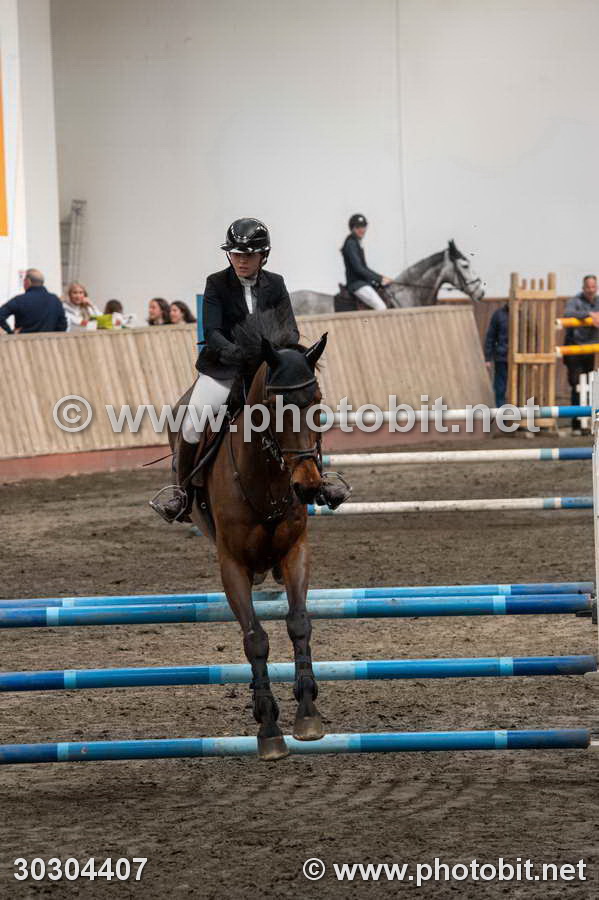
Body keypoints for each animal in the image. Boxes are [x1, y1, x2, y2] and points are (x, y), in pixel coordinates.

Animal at [179, 320, 328, 761]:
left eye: (317, 401)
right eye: (276, 407)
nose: (308, 485)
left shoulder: (296, 551)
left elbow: (298, 623)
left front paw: (307, 712)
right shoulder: (232, 566)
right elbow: (256, 639)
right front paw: (268, 727)